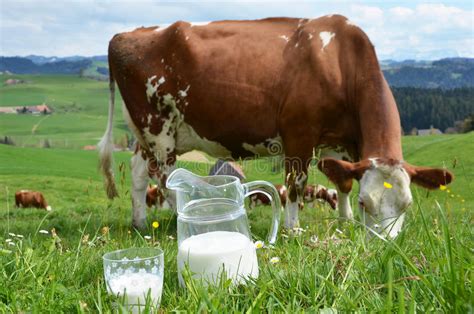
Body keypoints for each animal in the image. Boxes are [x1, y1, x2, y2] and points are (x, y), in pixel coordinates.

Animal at [98, 14, 454, 236]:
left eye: (407, 205)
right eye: (368, 203)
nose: (385, 246)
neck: (340, 60)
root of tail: (127, 33)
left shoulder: (344, 140)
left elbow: (343, 182)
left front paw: (345, 220)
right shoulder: (299, 132)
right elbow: (296, 183)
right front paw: (292, 228)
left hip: (151, 132)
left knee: (139, 172)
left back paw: (140, 223)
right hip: (158, 128)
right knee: (167, 178)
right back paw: (186, 216)